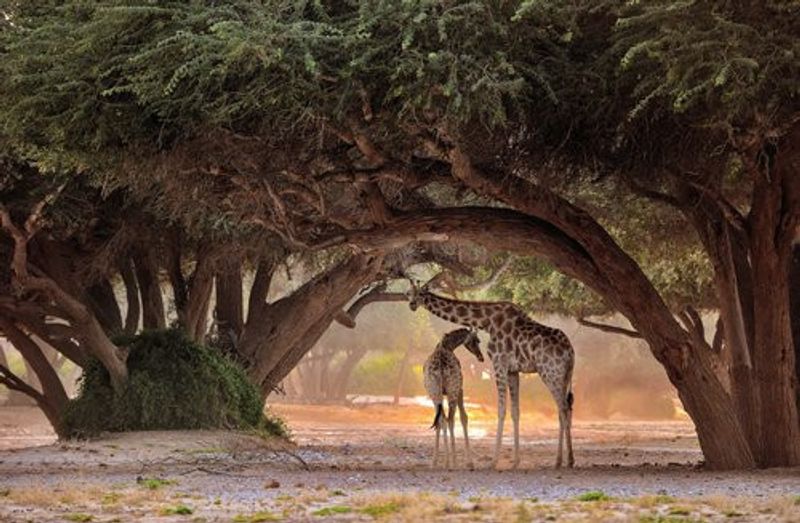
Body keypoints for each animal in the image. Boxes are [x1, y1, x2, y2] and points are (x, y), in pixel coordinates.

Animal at [423, 327, 483, 469]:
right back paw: (453, 461)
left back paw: (440, 461)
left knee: (441, 420)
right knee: (450, 419)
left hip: (434, 393)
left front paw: (439, 461)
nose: (481, 357)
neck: (448, 345)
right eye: (477, 340)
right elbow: (463, 418)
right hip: (452, 391)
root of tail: (440, 365)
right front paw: (469, 462)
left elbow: (441, 420)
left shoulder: (439, 394)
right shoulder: (460, 390)